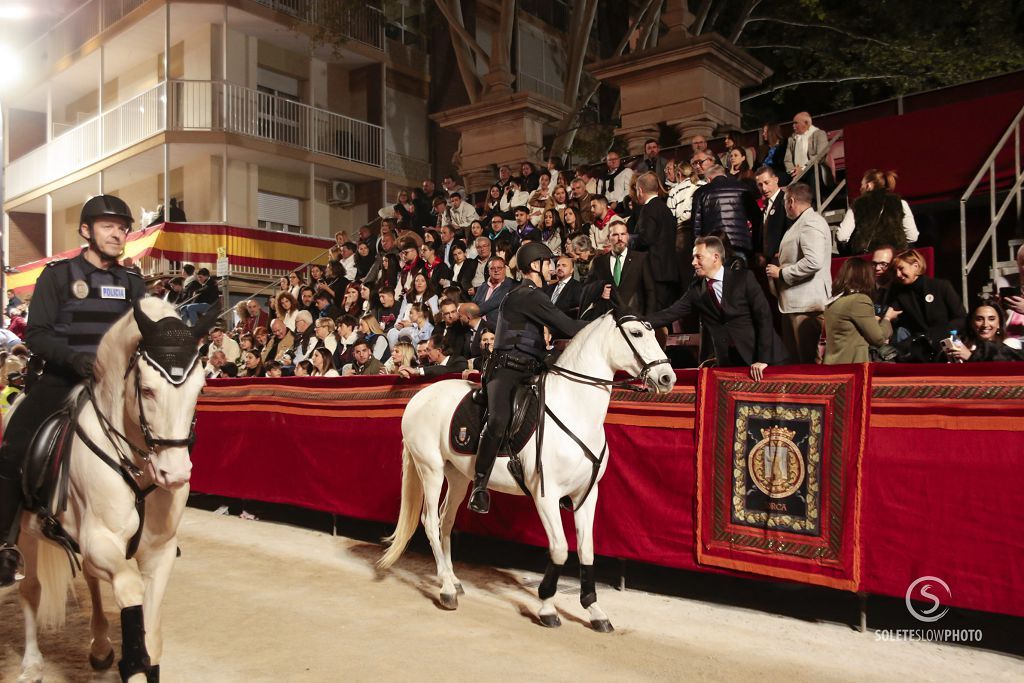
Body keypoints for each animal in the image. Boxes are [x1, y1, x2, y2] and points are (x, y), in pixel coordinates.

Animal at [6, 299, 205, 683]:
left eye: (200, 389)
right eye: (147, 390)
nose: (174, 474)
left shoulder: (158, 551)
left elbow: (152, 637)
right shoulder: (101, 539)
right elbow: (130, 591)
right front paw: (132, 663)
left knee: (89, 575)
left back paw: (99, 647)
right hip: (27, 531)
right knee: (31, 589)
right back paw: (32, 663)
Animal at [380, 313, 675, 634]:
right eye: (636, 333)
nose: (667, 378)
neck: (574, 409)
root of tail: (419, 397)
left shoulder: (586, 495)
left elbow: (586, 550)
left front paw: (595, 611)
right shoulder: (545, 496)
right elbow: (559, 549)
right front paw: (547, 608)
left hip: (457, 476)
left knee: (446, 521)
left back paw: (454, 579)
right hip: (430, 470)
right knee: (431, 522)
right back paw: (446, 589)